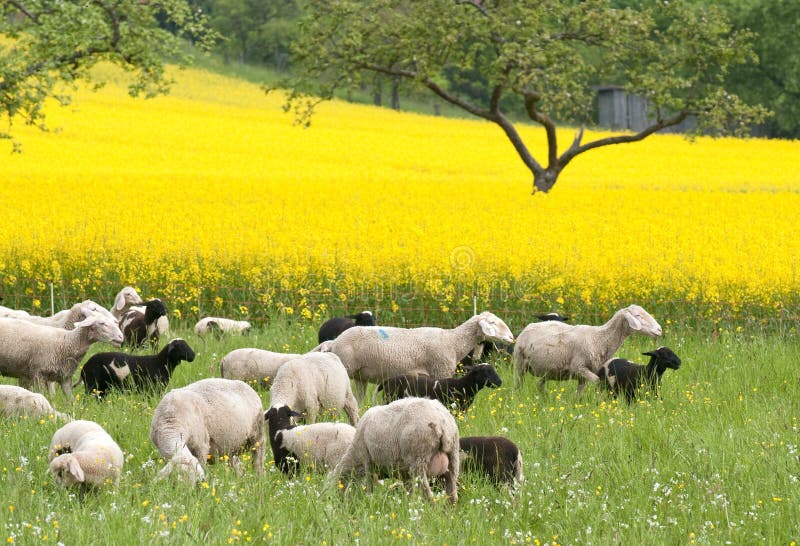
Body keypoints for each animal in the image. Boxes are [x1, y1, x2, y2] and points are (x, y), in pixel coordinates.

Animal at [322, 310, 516, 400]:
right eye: (493, 323)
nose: (512, 338)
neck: (453, 341)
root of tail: (334, 342)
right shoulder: (441, 371)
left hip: (359, 376)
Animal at [326, 396, 462, 502]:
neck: (354, 457)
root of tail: (441, 422)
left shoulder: (367, 460)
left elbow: (369, 485)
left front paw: (369, 499)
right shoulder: (404, 472)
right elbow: (409, 490)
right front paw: (408, 503)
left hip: (419, 458)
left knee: (428, 494)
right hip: (454, 455)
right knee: (452, 492)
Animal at [512, 304, 664, 394]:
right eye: (638, 316)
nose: (659, 330)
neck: (599, 337)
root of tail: (529, 325)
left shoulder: (585, 374)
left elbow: (579, 393)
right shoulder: (579, 368)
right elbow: (598, 382)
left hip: (547, 369)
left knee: (540, 384)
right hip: (519, 363)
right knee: (519, 384)